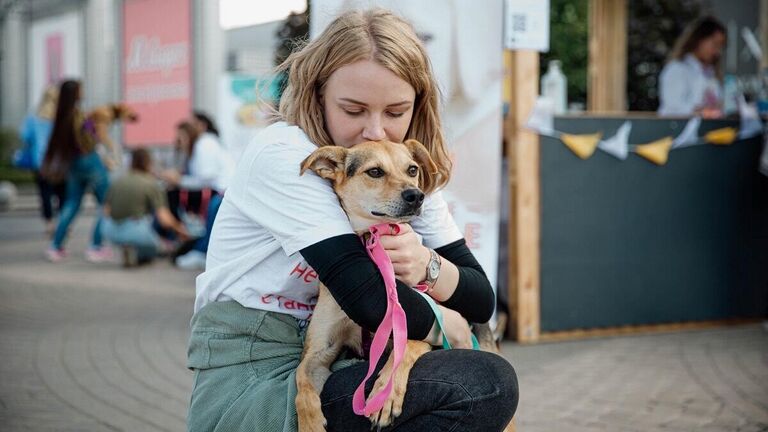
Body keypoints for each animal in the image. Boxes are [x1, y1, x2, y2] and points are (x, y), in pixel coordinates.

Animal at [292, 140, 504, 430]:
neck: (375, 245)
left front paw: (386, 394)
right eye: (375, 172)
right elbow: (301, 381)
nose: (416, 195)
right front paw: (310, 423)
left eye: (412, 169)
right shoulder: (321, 349)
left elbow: (404, 349)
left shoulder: (415, 325)